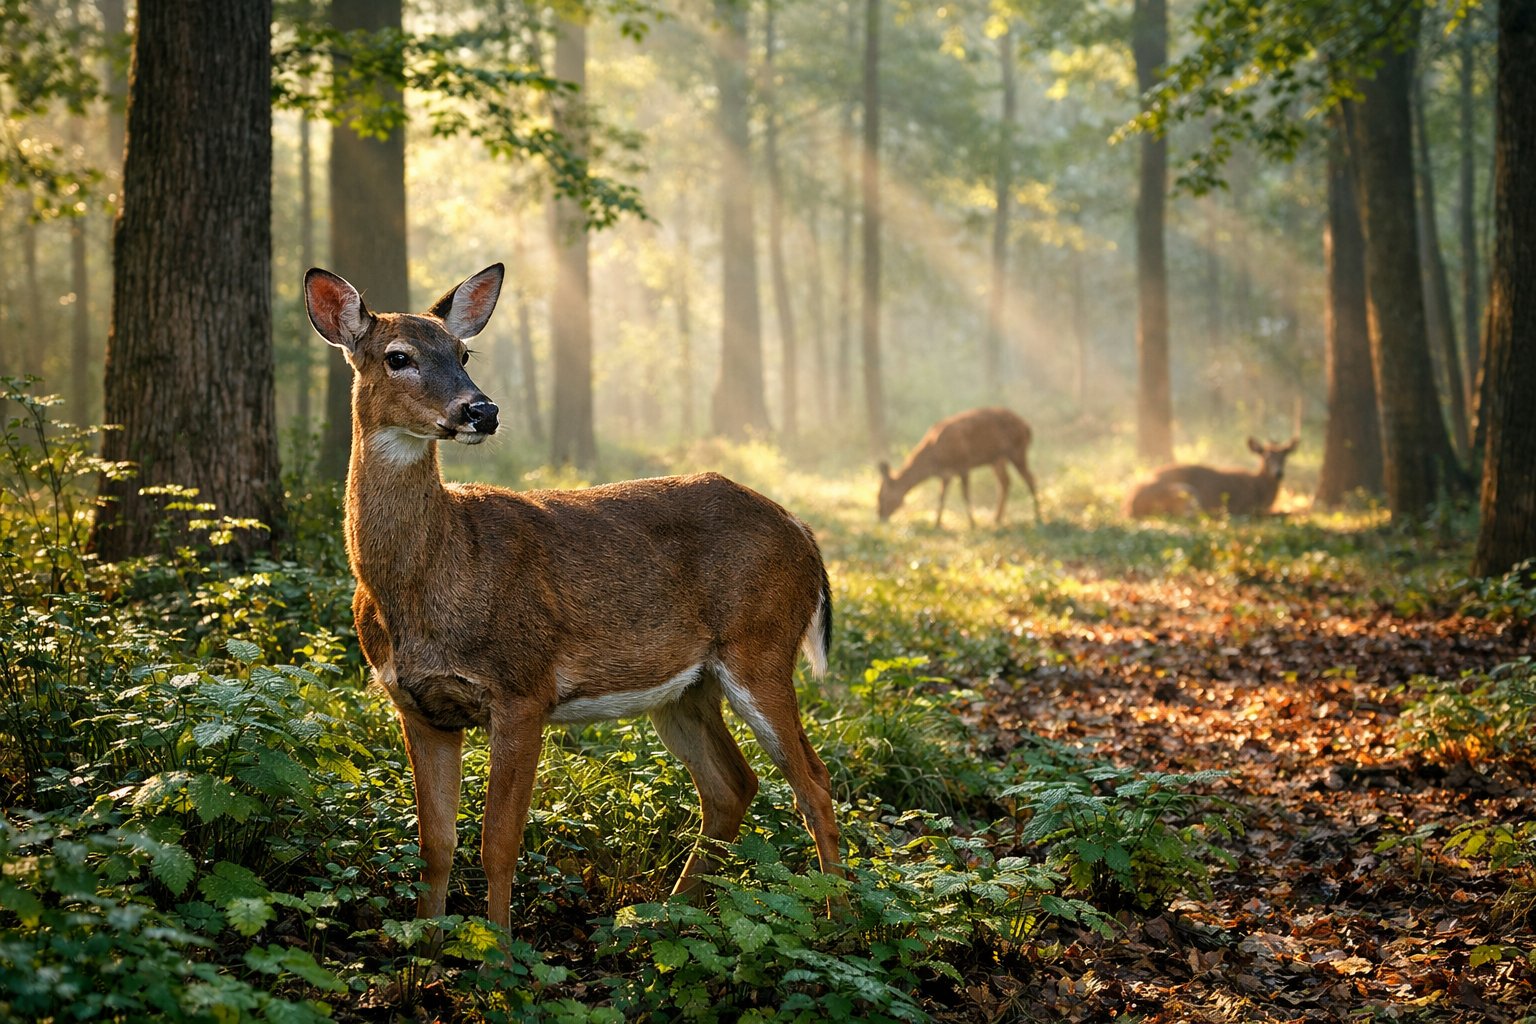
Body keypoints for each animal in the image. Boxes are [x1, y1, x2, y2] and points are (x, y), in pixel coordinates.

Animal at [303, 264, 842, 933]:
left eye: (463, 352)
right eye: (397, 356)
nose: (482, 410)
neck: (431, 580)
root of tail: (803, 531)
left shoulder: (523, 689)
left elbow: (498, 843)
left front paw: (499, 952)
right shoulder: (418, 706)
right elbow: (436, 846)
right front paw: (429, 949)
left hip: (761, 646)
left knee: (814, 781)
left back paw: (843, 920)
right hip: (686, 688)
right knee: (732, 785)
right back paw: (658, 920)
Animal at [877, 407, 1041, 527]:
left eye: (881, 496)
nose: (880, 516)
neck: (934, 459)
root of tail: (1027, 428)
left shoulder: (963, 464)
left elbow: (965, 495)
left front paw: (972, 524)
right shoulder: (946, 474)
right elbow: (941, 497)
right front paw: (937, 524)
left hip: (1017, 450)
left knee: (1031, 479)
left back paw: (1037, 517)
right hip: (997, 459)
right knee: (1005, 482)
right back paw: (997, 519)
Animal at [1125, 437, 1299, 518]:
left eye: (1285, 457)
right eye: (1266, 457)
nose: (1279, 473)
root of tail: (1129, 505)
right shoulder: (1247, 506)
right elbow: (1284, 512)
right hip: (1184, 491)